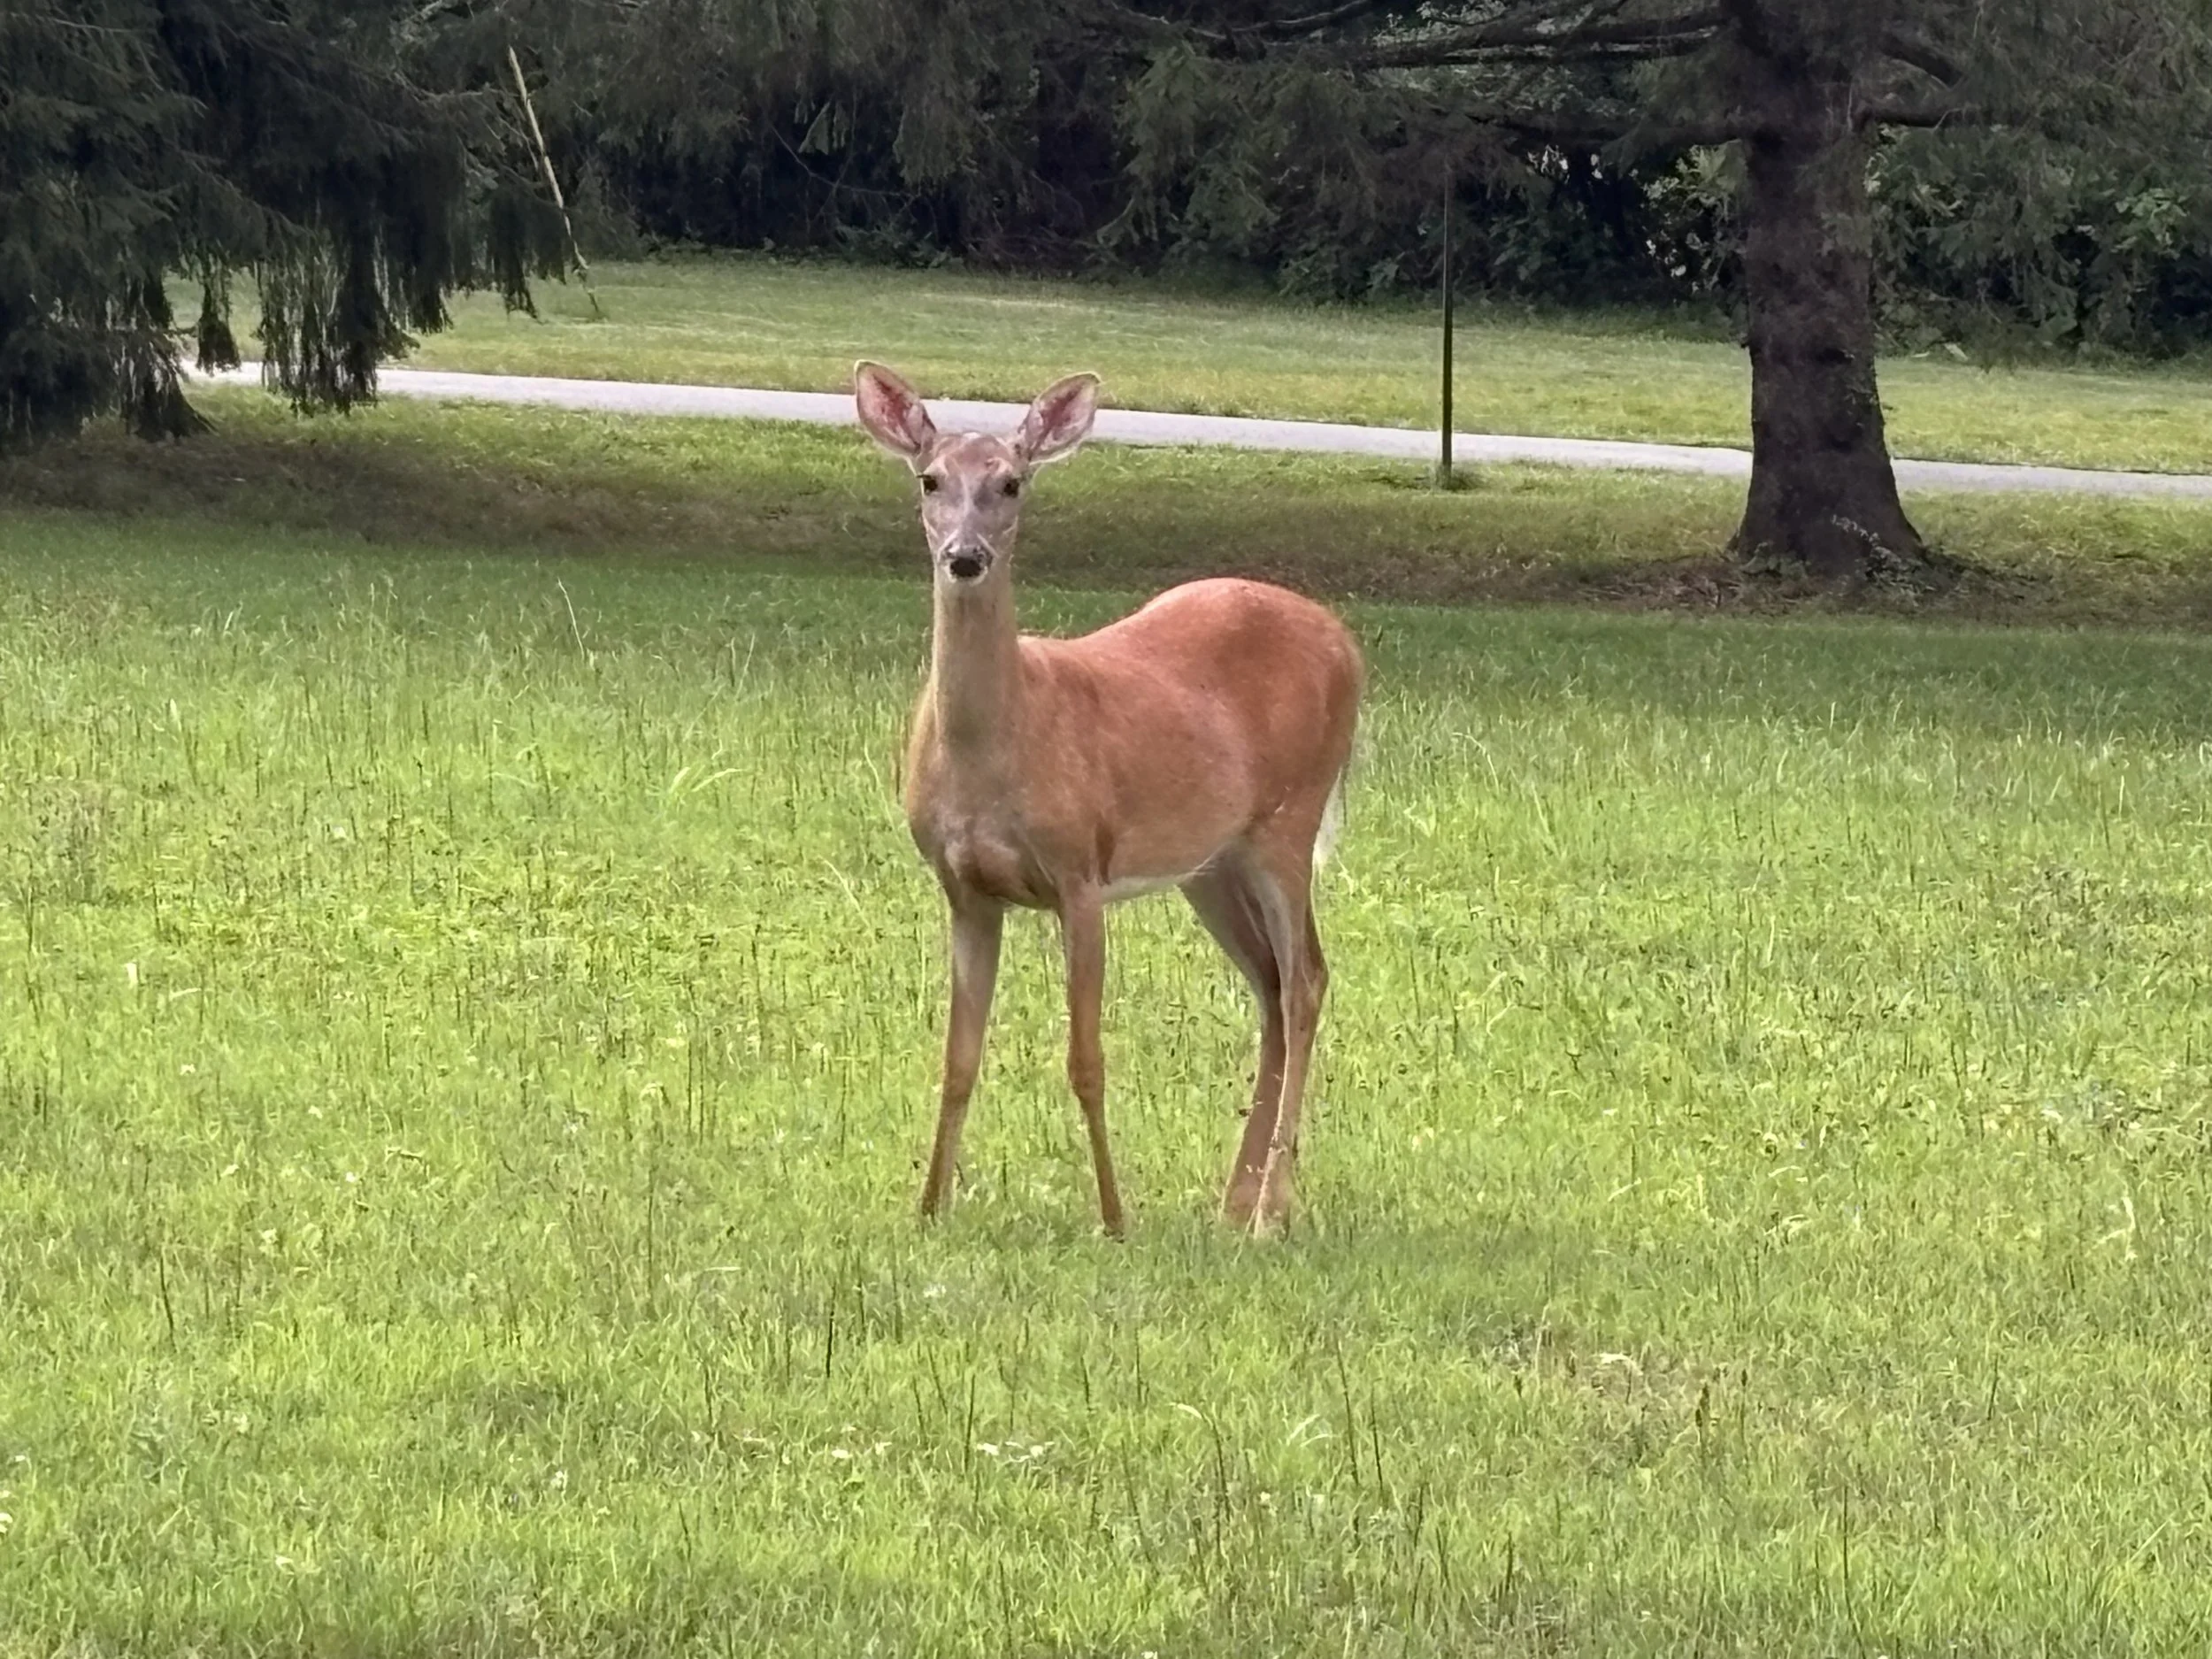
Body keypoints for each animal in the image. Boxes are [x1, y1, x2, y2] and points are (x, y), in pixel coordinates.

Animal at [854, 361, 1364, 1238]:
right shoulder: (963, 887)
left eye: (1012, 482)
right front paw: (928, 1208)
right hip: (1210, 861)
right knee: (1271, 983)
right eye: (929, 479)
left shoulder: (1080, 871)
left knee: (1305, 983)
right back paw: (1233, 1200)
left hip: (1289, 818)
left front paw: (1114, 1217)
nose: (965, 556)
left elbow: (1085, 1058)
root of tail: (1348, 642)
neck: (1000, 745)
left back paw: (1270, 1209)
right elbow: (958, 1058)